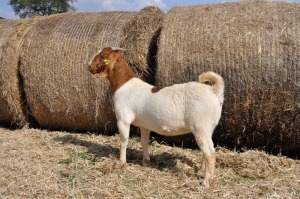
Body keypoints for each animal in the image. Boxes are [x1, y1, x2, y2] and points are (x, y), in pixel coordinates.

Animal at [88, 46, 224, 187]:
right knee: (207, 150)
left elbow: (124, 141)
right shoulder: (144, 125)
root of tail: (215, 91)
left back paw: (205, 182)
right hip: (207, 129)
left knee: (210, 154)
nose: (89, 66)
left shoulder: (123, 120)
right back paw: (201, 171)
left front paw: (122, 162)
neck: (123, 84)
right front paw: (145, 161)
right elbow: (144, 142)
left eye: (103, 56)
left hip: (201, 126)